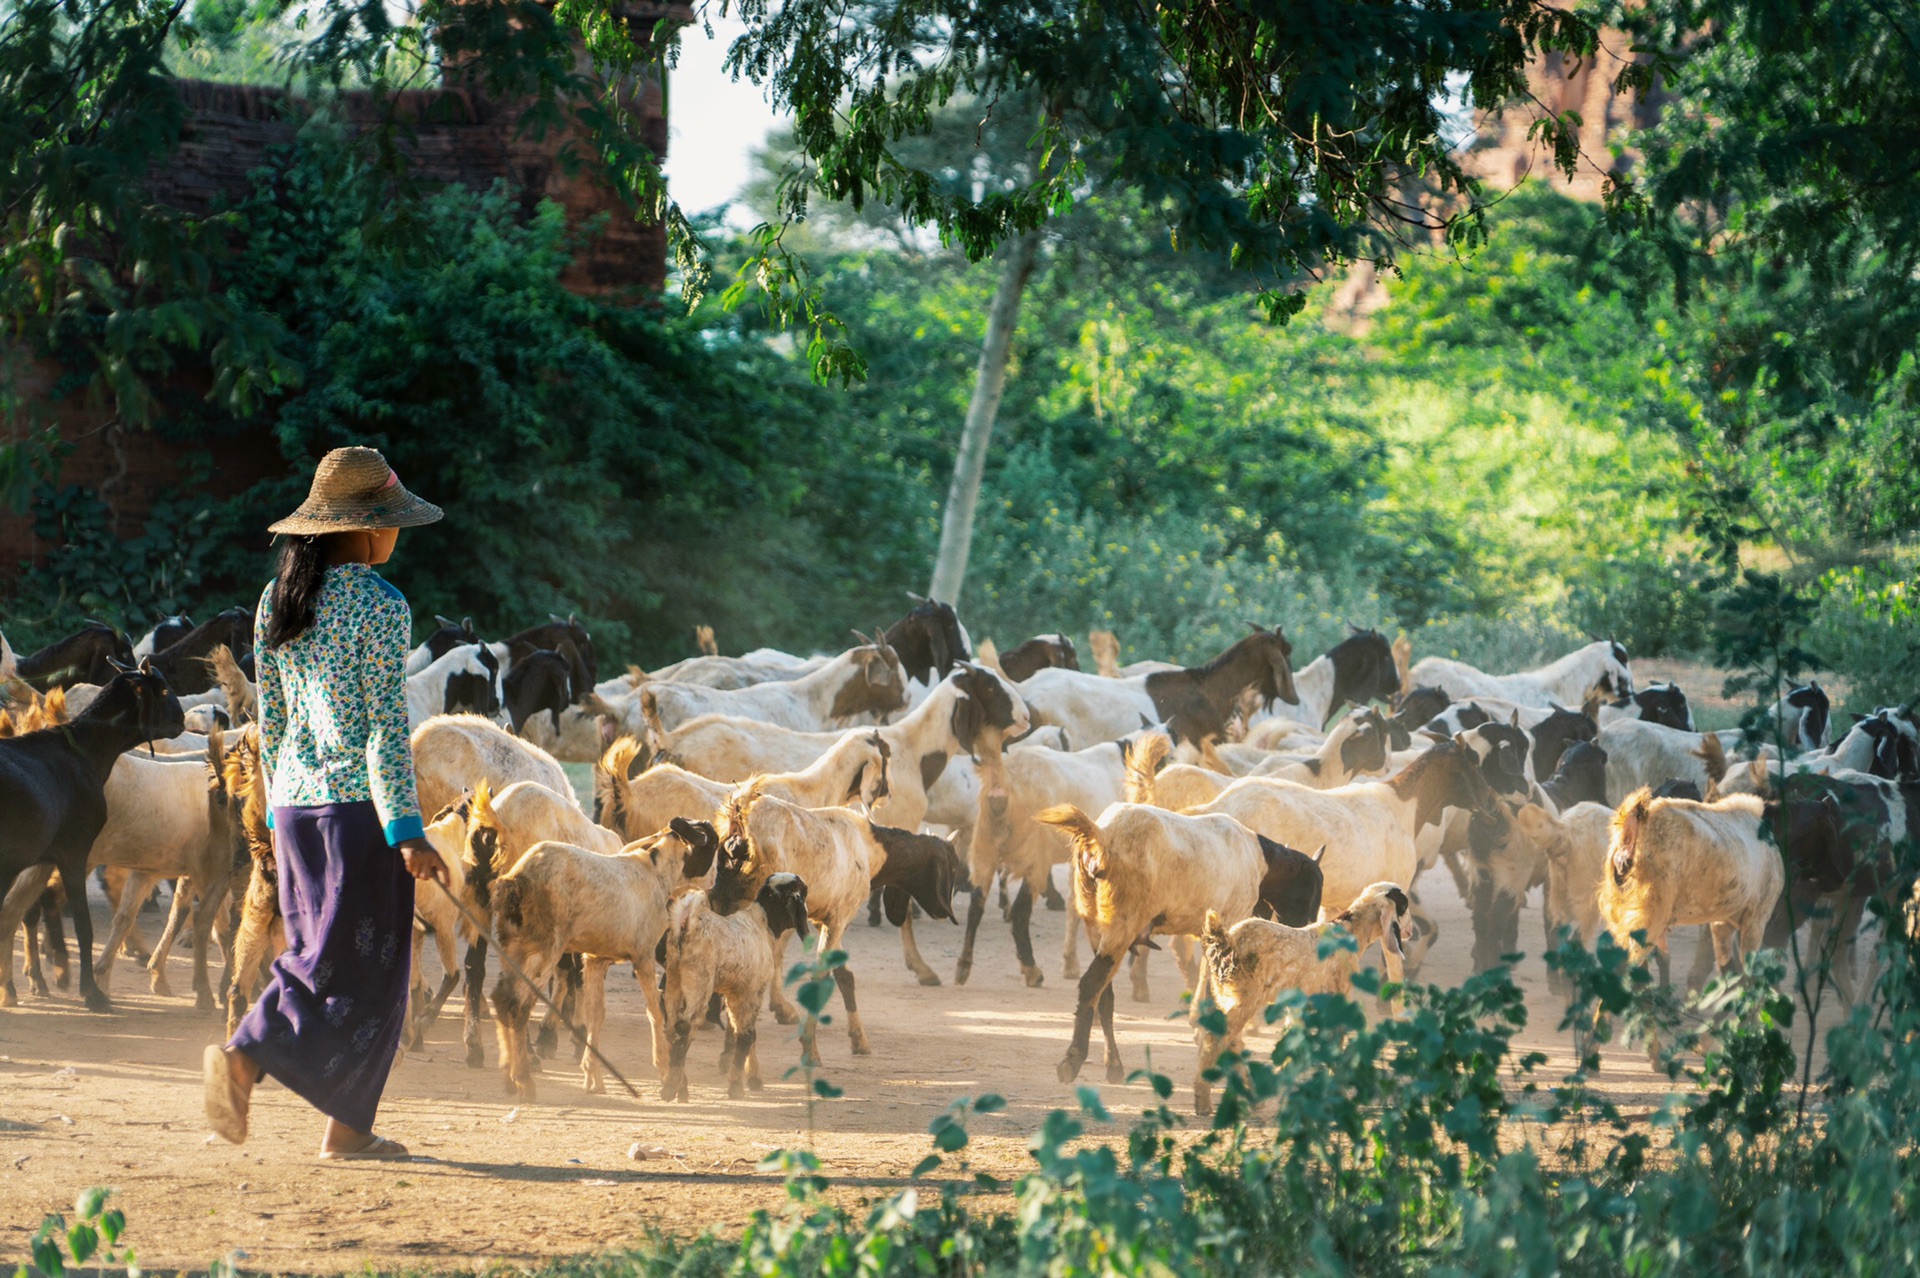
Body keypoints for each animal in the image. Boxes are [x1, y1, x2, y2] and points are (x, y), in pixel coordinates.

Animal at [1182, 882, 1413, 1112]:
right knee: (1217, 1038)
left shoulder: (1300, 1004)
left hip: (1224, 995)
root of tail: (1228, 941)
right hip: (1246, 996)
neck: (1350, 933)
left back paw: (1253, 1096)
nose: (1410, 931)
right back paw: (1203, 1100)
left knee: (1231, 1040)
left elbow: (1295, 1041)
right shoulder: (1339, 997)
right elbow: (1334, 1043)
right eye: (1403, 906)